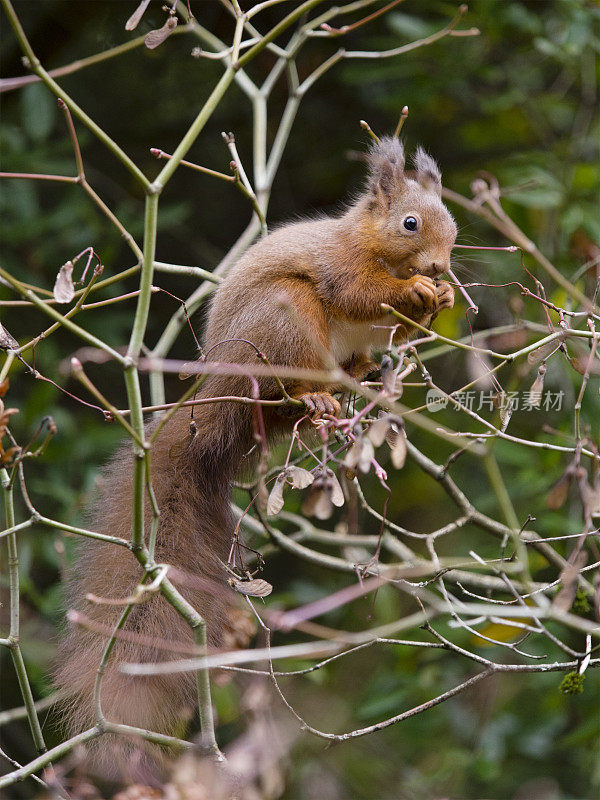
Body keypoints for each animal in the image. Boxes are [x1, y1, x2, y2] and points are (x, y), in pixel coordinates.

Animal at [54, 138, 454, 776]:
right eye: (410, 223)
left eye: (452, 223)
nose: (441, 267)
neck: (370, 241)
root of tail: (220, 392)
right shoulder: (338, 263)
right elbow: (359, 292)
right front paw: (415, 290)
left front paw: (438, 298)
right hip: (284, 320)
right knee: (293, 375)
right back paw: (315, 394)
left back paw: (364, 376)